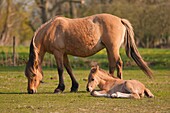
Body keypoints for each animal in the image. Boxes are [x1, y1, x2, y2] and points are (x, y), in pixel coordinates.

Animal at [24, 13, 153, 93]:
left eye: (33, 75)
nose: (30, 90)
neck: (50, 30)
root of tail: (120, 20)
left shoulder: (58, 53)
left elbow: (60, 70)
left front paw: (59, 88)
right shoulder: (64, 54)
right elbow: (69, 69)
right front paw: (74, 87)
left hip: (113, 48)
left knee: (118, 63)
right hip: (109, 49)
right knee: (112, 64)